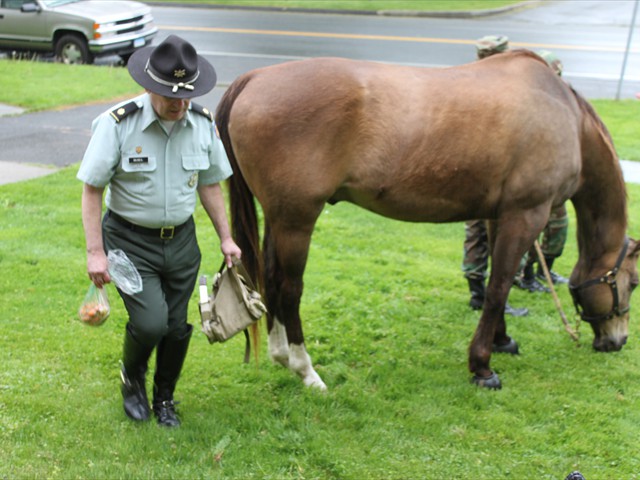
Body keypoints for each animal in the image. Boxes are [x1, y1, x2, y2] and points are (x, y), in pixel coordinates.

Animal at [215, 50, 640, 390]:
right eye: (633, 283)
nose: (617, 342)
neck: (565, 115)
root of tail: (254, 78)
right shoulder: (527, 215)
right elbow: (499, 286)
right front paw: (482, 367)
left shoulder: (498, 216)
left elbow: (494, 284)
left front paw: (501, 342)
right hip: (297, 220)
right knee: (289, 289)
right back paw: (306, 370)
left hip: (280, 218)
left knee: (270, 279)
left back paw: (281, 356)